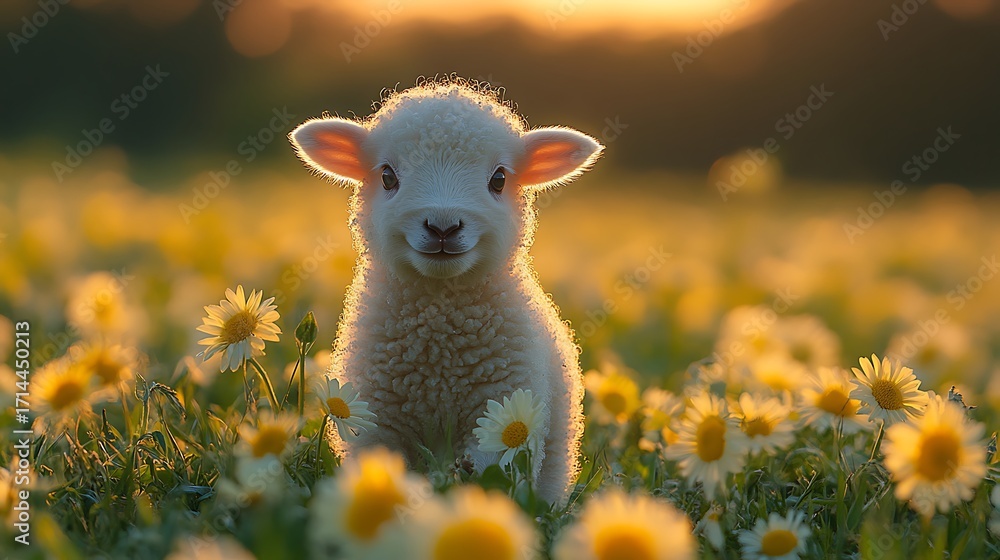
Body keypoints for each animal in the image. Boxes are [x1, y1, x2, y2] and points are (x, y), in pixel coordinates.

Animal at [289, 78, 603, 503]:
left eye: (499, 179)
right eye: (387, 176)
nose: (443, 227)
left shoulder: (499, 411)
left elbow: (490, 477)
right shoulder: (377, 422)